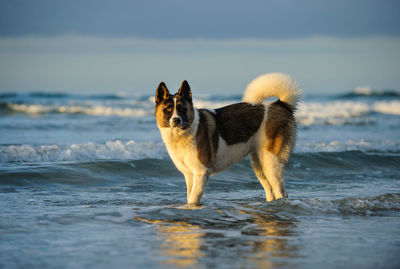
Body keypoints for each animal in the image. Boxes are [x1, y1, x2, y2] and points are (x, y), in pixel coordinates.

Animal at [155, 72, 302, 204]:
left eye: (182, 109)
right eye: (167, 109)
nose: (176, 120)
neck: (185, 132)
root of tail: (281, 105)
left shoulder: (201, 173)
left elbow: (192, 199)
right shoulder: (190, 175)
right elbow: (189, 197)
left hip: (271, 162)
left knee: (281, 192)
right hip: (259, 164)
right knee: (270, 191)